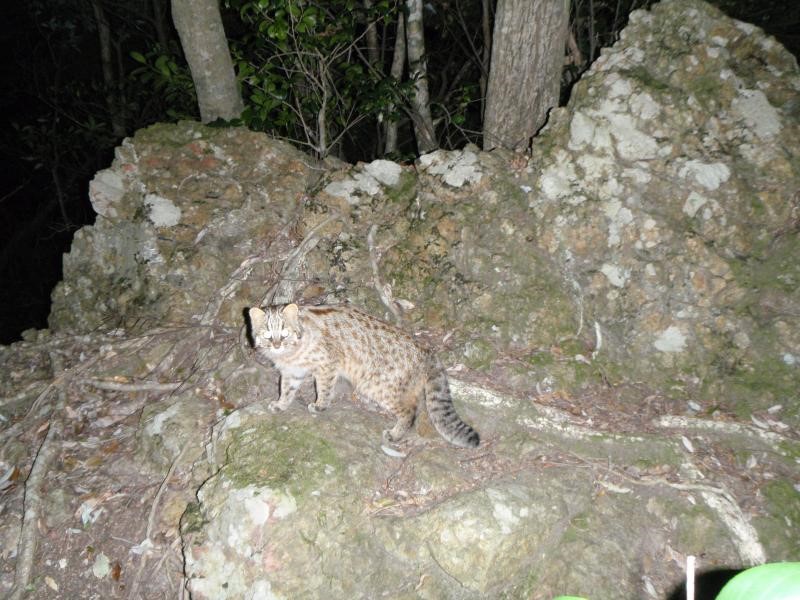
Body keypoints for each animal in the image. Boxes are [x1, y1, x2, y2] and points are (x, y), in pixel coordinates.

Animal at [247, 302, 478, 448]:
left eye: (284, 332)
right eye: (267, 334)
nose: (276, 345)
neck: (290, 353)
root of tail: (427, 350)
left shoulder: (327, 365)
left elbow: (324, 388)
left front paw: (320, 405)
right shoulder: (292, 373)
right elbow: (286, 390)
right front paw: (281, 404)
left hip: (377, 387)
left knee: (409, 411)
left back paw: (395, 434)